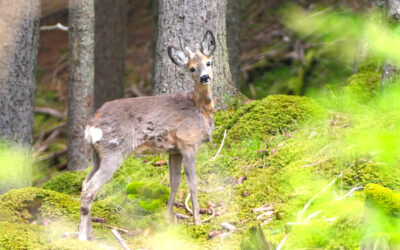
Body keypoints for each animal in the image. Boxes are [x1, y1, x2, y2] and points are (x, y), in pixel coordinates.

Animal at [78, 30, 216, 240]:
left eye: (208, 62)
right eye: (191, 68)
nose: (204, 77)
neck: (200, 109)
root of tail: (90, 127)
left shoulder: (174, 150)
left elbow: (174, 181)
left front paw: (168, 219)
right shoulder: (188, 142)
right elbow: (192, 182)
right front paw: (197, 221)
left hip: (97, 155)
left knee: (84, 184)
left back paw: (90, 235)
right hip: (114, 151)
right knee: (89, 189)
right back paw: (82, 237)